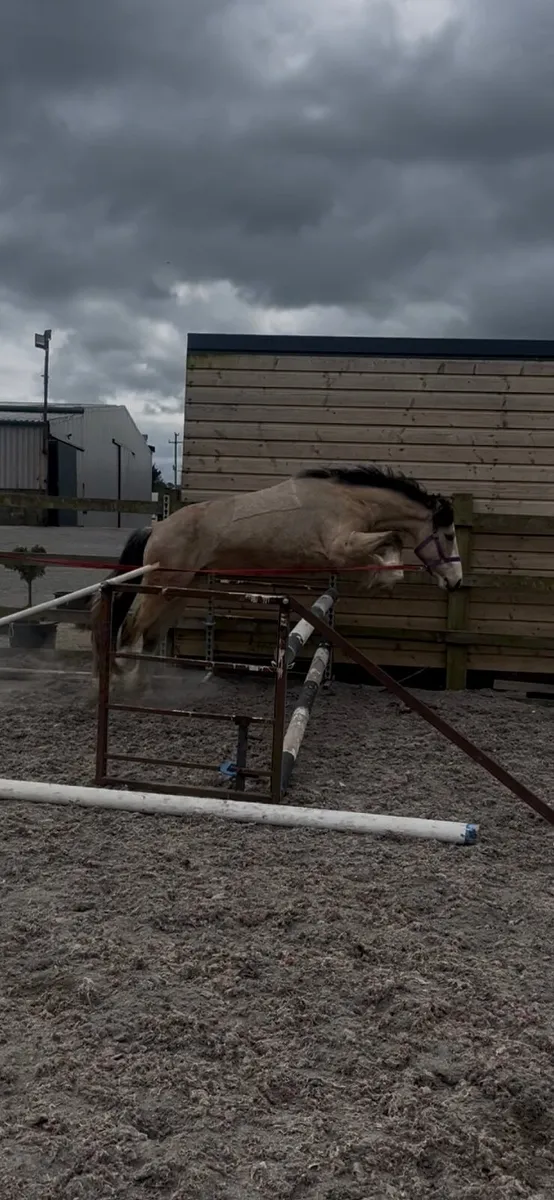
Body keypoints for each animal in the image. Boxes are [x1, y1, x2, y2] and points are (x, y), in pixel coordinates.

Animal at [90, 464, 462, 685]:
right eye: (448, 536)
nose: (455, 582)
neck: (350, 500)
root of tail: (156, 528)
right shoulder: (340, 547)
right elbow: (393, 539)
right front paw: (379, 578)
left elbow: (390, 546)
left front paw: (380, 579)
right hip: (162, 585)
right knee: (132, 628)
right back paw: (122, 682)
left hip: (181, 590)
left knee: (151, 635)